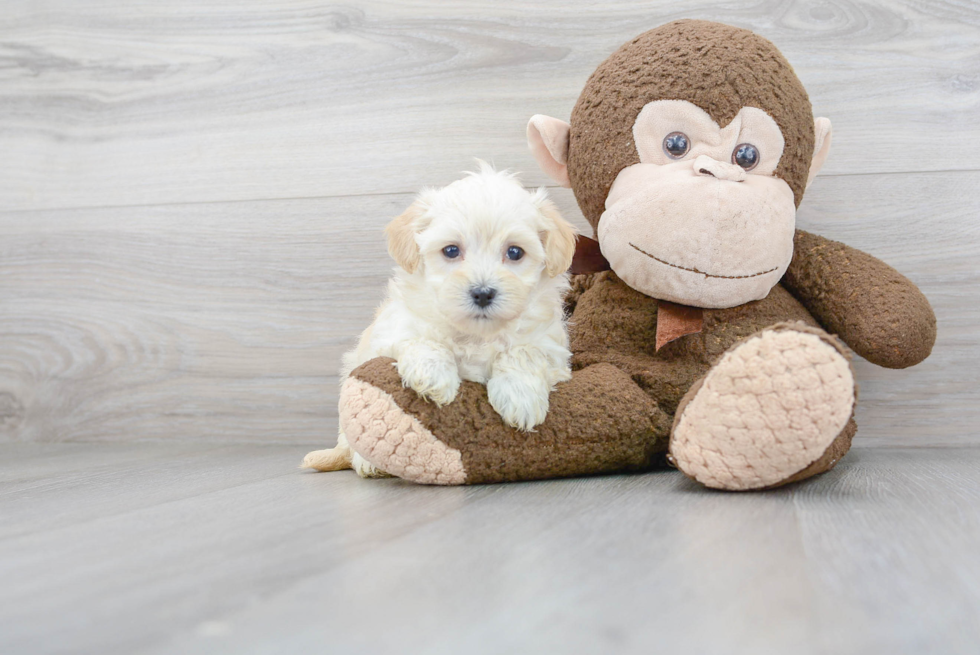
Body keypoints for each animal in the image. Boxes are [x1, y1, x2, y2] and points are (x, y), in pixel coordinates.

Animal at [304, 165, 576, 476]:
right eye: (451, 250)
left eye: (515, 252)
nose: (483, 293)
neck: (475, 334)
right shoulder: (392, 331)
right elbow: (422, 340)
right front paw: (433, 375)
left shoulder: (552, 349)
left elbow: (524, 351)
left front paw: (520, 396)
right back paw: (368, 462)